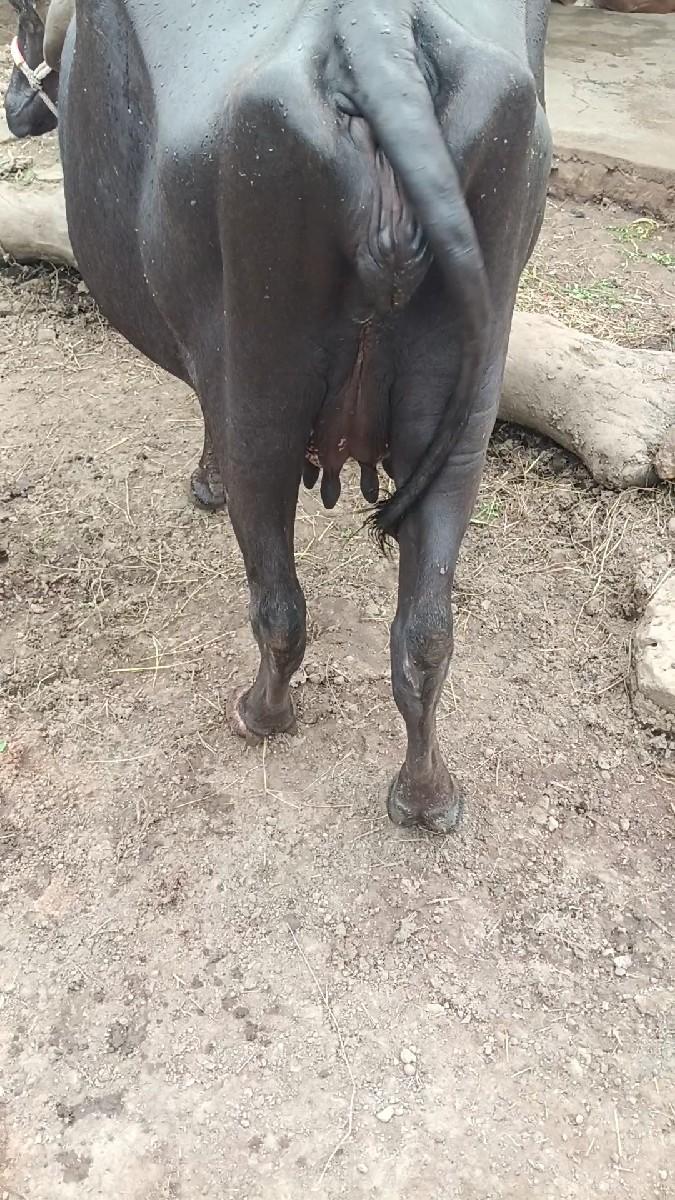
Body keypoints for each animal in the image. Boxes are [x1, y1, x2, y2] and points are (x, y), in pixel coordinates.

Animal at [5, 1, 552, 833]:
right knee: (426, 630)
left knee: (280, 605)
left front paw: (203, 485)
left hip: (263, 395)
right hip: (460, 419)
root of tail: (374, 38)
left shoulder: (216, 359)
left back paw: (260, 711)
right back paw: (427, 794)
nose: (13, 105)